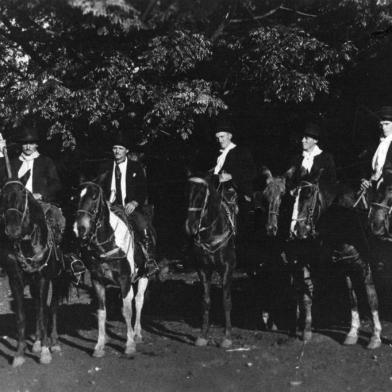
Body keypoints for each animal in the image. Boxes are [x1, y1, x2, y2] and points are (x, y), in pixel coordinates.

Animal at [0, 178, 69, 368]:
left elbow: (43, 312)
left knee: (52, 308)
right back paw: (37, 342)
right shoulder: (15, 280)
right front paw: (19, 354)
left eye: (22, 196)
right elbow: (22, 317)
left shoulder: (43, 279)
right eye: (3, 196)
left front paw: (45, 352)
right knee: (39, 304)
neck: (27, 243)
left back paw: (54, 342)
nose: (12, 230)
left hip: (58, 279)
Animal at [73, 181, 150, 358]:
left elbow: (127, 310)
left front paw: (129, 345)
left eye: (94, 197)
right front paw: (99, 346)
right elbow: (102, 313)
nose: (80, 228)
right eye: (75, 196)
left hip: (144, 276)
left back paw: (137, 333)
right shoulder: (97, 281)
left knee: (139, 300)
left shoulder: (125, 280)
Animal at [186, 175, 237, 350]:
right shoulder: (203, 269)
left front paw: (227, 337)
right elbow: (206, 301)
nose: (190, 226)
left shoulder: (227, 268)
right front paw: (203, 335)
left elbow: (226, 301)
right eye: (188, 194)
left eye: (202, 196)